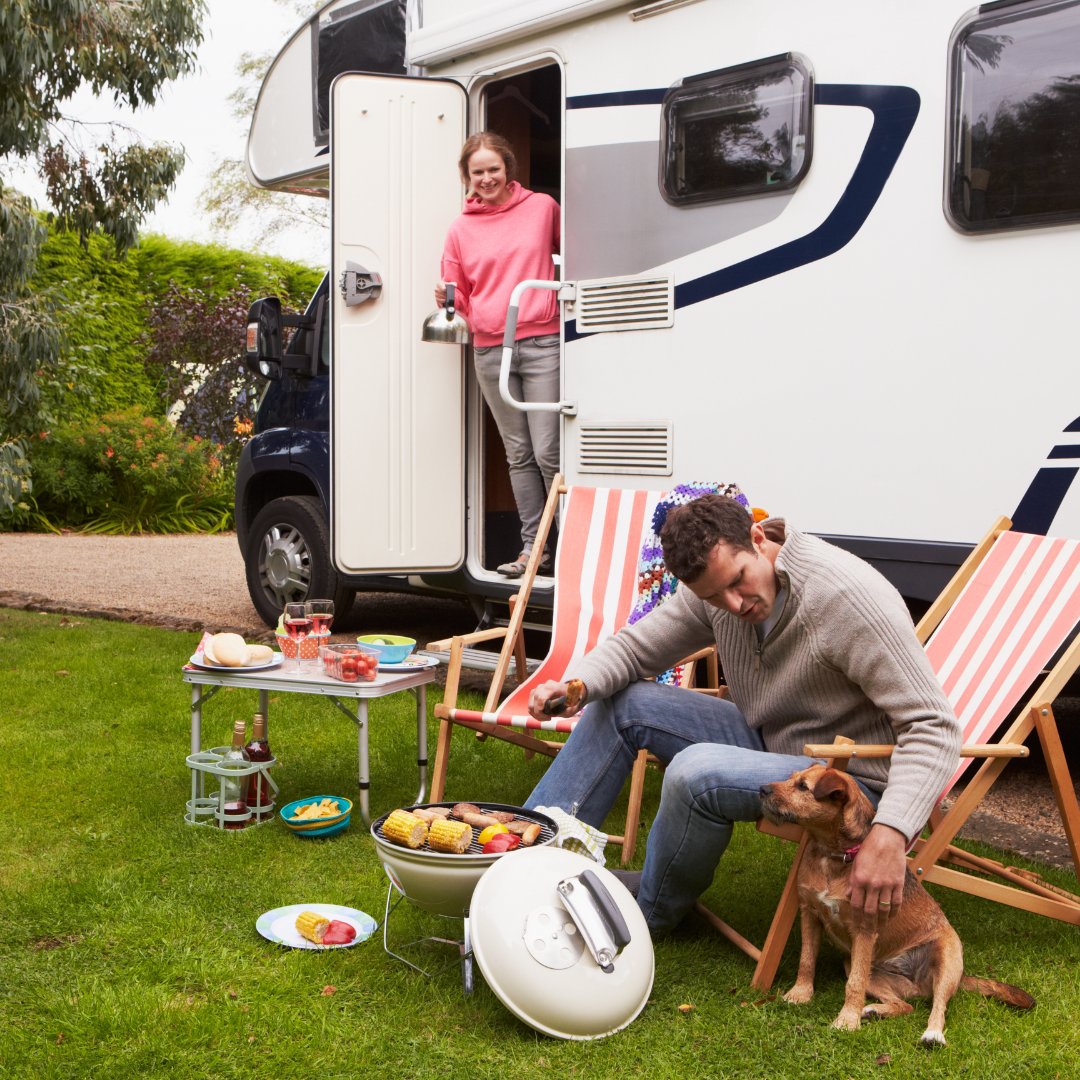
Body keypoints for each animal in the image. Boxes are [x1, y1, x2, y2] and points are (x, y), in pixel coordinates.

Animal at [756, 764, 1032, 1041]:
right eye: (792, 779)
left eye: (803, 786)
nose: (762, 789)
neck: (835, 857)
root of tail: (919, 981)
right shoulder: (810, 914)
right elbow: (807, 959)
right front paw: (800, 994)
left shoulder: (864, 930)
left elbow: (853, 984)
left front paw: (847, 1020)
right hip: (862, 967)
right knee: (906, 1005)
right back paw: (875, 1011)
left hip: (945, 961)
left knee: (938, 1005)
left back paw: (932, 1034)